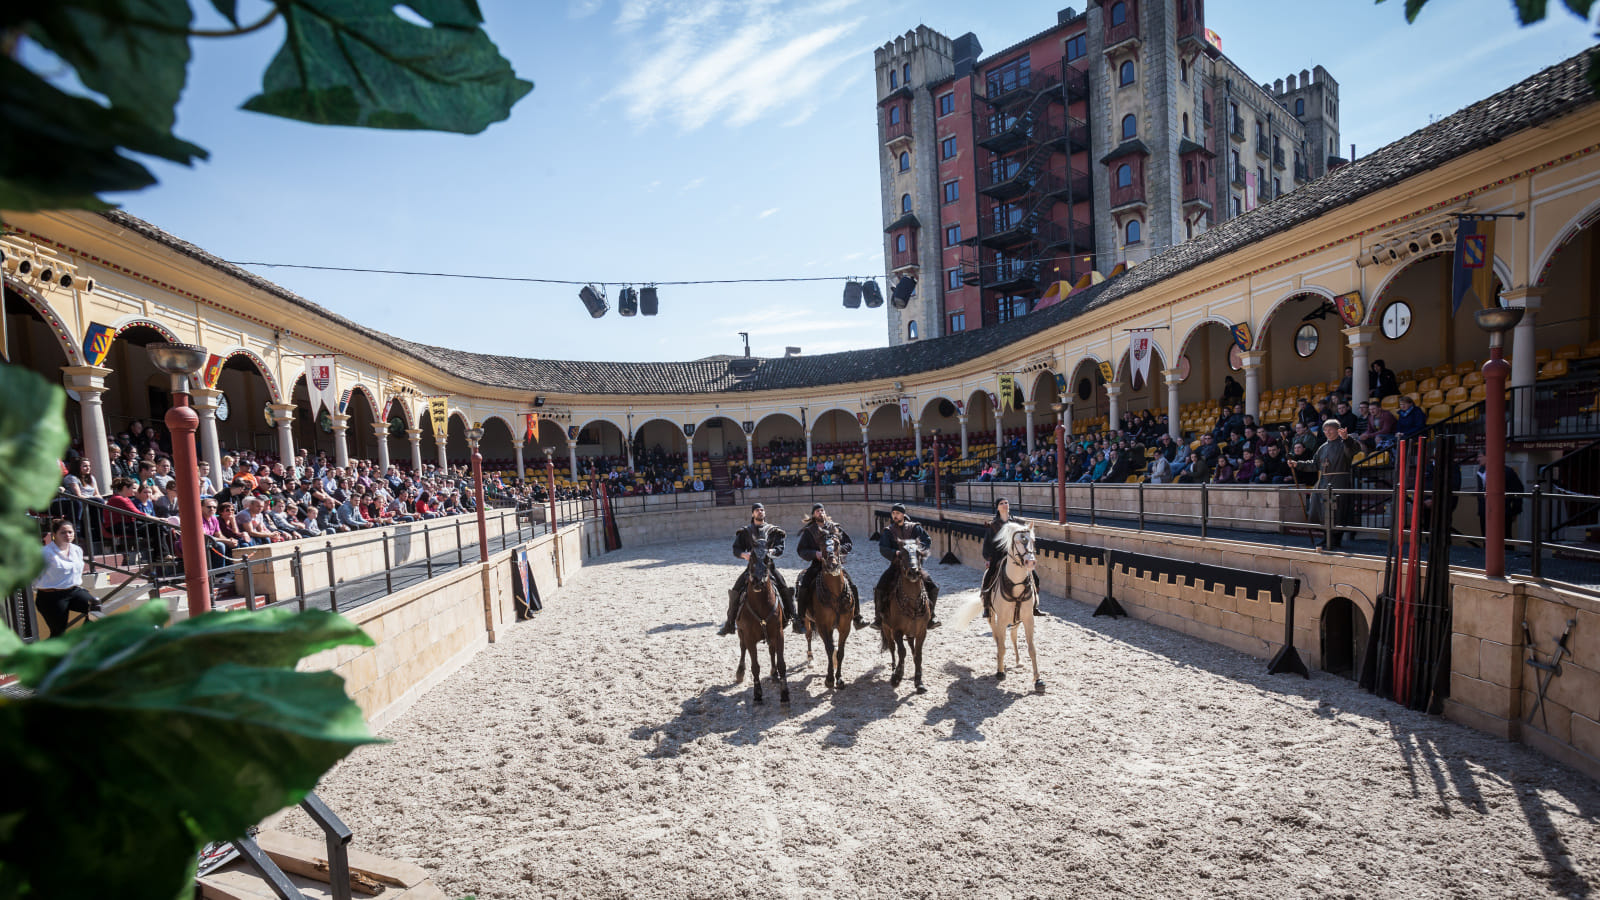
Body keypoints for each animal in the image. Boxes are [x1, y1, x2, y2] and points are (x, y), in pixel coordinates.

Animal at [733, 541, 789, 705]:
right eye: (751, 556)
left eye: (767, 558)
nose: (758, 581)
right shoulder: (749, 638)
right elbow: (755, 666)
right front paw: (757, 694)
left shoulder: (778, 633)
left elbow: (781, 663)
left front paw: (784, 693)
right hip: (741, 633)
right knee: (742, 648)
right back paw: (740, 672)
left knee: (771, 651)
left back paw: (774, 674)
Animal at [802, 530, 854, 690]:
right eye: (820, 545)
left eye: (837, 543)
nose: (832, 564)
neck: (835, 596)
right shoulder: (823, 626)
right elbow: (829, 649)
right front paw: (830, 679)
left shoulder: (845, 626)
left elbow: (840, 651)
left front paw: (839, 679)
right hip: (807, 620)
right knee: (808, 636)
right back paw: (810, 659)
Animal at [878, 538, 931, 693]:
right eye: (901, 554)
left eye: (918, 553)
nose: (913, 571)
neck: (912, 603)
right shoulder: (897, 631)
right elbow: (901, 652)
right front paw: (897, 677)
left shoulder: (921, 631)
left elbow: (918, 654)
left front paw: (919, 681)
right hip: (886, 629)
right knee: (892, 649)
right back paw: (893, 670)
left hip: (910, 633)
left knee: (912, 649)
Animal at [985, 521, 1043, 690]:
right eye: (1018, 541)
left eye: (1033, 540)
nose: (1031, 562)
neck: (1016, 584)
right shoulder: (1002, 620)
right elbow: (1002, 646)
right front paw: (1000, 672)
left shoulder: (1028, 618)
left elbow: (1032, 649)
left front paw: (1038, 679)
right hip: (992, 616)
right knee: (998, 638)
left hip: (1017, 620)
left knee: (1013, 636)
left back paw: (1018, 661)